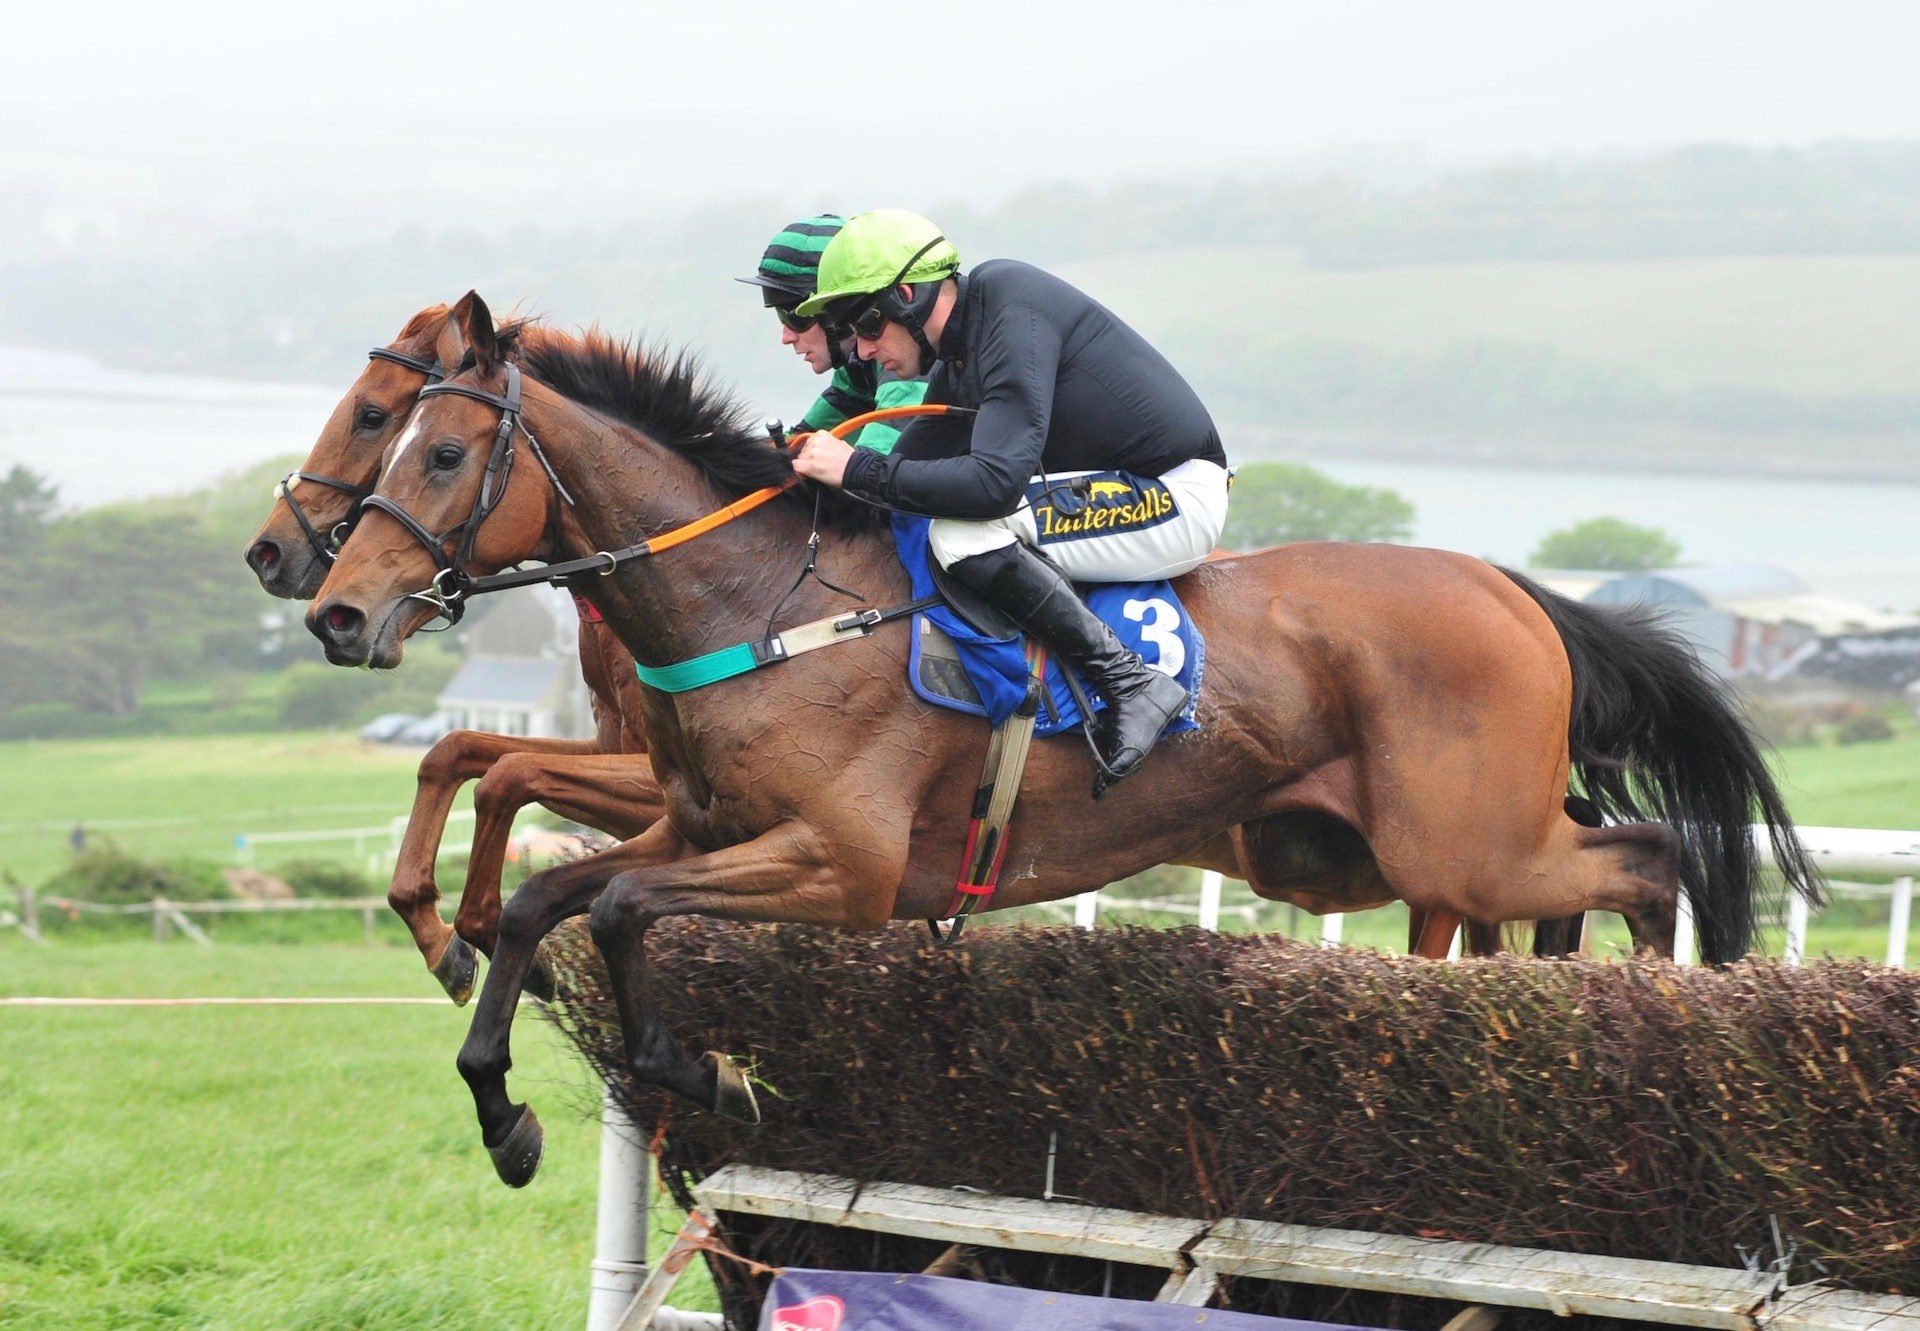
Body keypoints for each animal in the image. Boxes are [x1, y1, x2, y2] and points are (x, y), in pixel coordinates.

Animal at [240, 301, 668, 998]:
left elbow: (505, 772)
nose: (267, 552)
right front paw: (444, 938)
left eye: (372, 415)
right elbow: (456, 750)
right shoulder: (612, 752)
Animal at [307, 297, 1820, 1183]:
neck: (763, 596)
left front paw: (695, 1063)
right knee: (1577, 886)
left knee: (1648, 862)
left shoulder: (844, 866)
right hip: (1376, 847)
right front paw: (502, 1098)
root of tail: (1515, 589)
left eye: (431, 448)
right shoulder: (696, 820)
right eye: (383, 432)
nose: (331, 604)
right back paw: (1566, 1014)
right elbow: (547, 891)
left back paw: (1658, 1037)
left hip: (1466, 840)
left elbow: (613, 900)